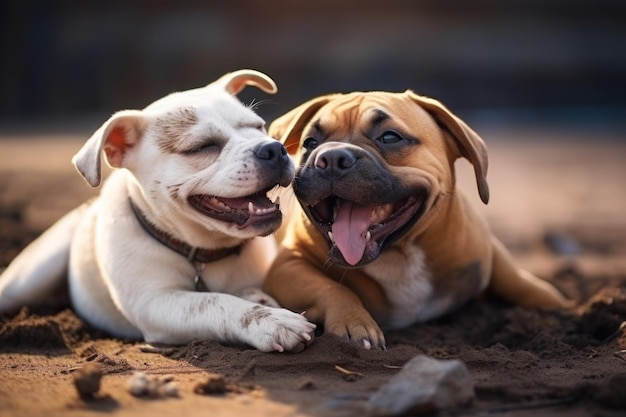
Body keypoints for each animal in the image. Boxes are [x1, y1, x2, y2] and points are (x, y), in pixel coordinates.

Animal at [0, 69, 312, 352]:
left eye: (259, 127)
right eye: (203, 147)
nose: (274, 149)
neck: (204, 251)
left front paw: (258, 299)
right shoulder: (157, 304)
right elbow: (214, 301)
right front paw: (272, 321)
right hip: (31, 276)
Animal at [260, 90, 568, 348]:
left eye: (390, 137)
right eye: (310, 143)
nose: (332, 157)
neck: (400, 254)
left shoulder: (486, 247)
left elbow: (516, 279)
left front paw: (561, 308)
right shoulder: (287, 266)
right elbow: (332, 288)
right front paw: (353, 322)